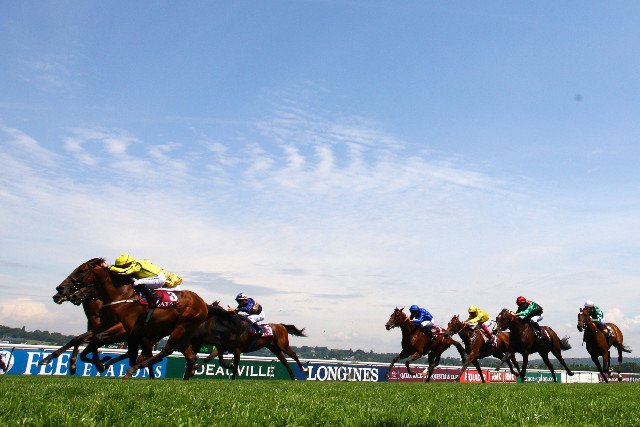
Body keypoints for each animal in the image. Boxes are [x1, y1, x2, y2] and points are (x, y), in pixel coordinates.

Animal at [79, 265, 208, 379]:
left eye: (81, 270)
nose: (77, 294)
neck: (122, 295)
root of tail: (203, 304)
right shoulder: (112, 325)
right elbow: (92, 339)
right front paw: (101, 363)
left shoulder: (126, 328)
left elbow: (99, 338)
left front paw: (101, 364)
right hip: (185, 331)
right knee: (190, 356)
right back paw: (185, 377)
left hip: (181, 326)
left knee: (167, 349)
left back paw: (134, 369)